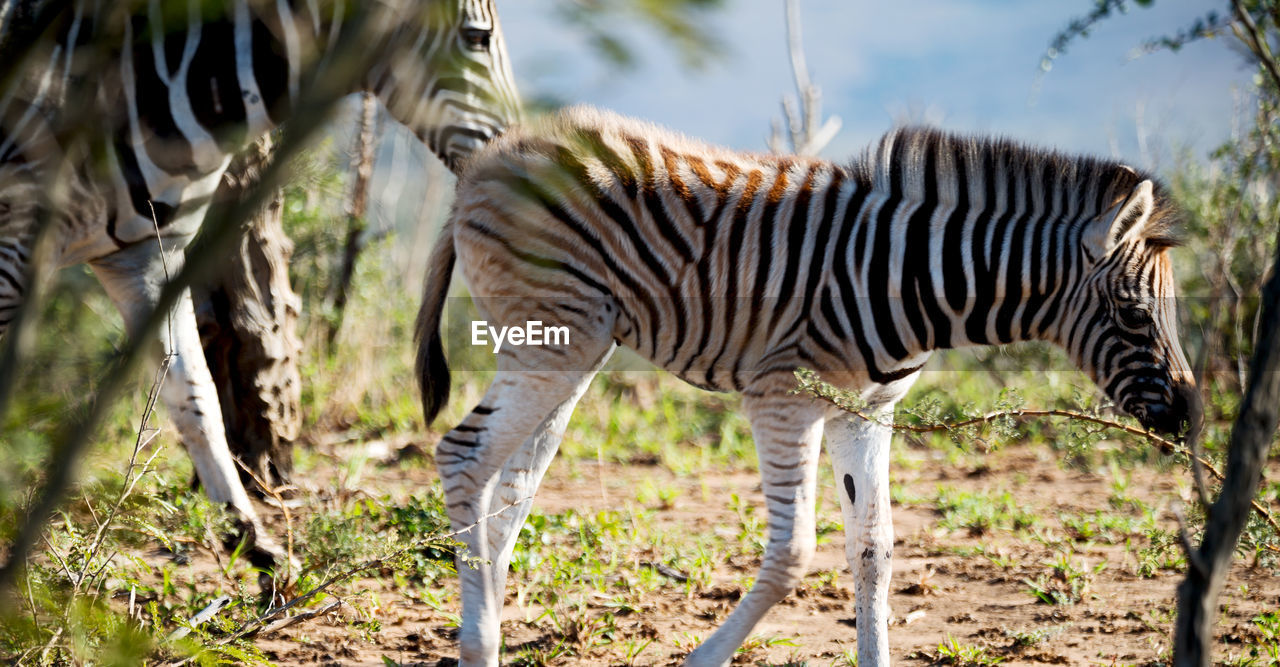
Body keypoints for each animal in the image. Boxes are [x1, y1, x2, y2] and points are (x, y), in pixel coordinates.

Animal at [414, 106, 1192, 660]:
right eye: (1132, 313)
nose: (1189, 416)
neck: (908, 273)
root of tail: (486, 162)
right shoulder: (783, 399)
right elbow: (794, 554)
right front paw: (702, 659)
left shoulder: (867, 412)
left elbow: (875, 550)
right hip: (556, 340)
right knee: (464, 456)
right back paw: (478, 643)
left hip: (570, 350)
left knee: (509, 490)